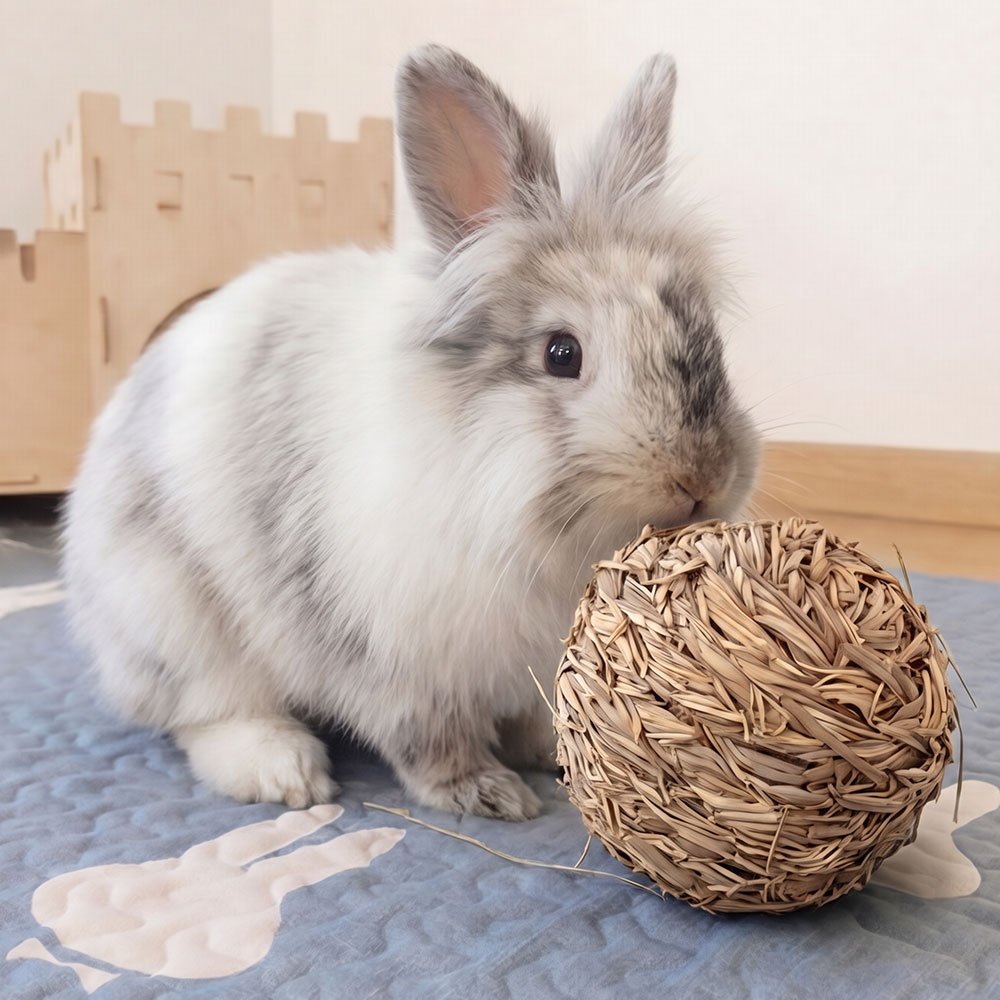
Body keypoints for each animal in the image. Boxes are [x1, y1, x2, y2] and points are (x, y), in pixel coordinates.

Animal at [61, 44, 760, 821]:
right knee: (205, 713)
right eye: (561, 353)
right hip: (175, 623)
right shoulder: (397, 662)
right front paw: (490, 793)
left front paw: (549, 755)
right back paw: (284, 771)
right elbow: (428, 738)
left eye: (708, 334)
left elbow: (531, 713)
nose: (704, 479)